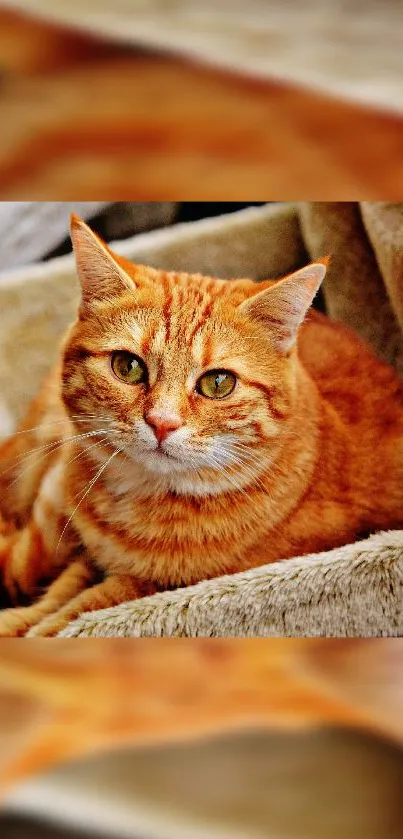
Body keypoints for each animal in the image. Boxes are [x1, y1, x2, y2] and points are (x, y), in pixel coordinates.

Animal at [0, 212, 403, 636]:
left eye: (218, 383)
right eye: (127, 367)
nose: (161, 422)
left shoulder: (155, 583)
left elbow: (94, 601)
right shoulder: (85, 552)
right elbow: (62, 589)